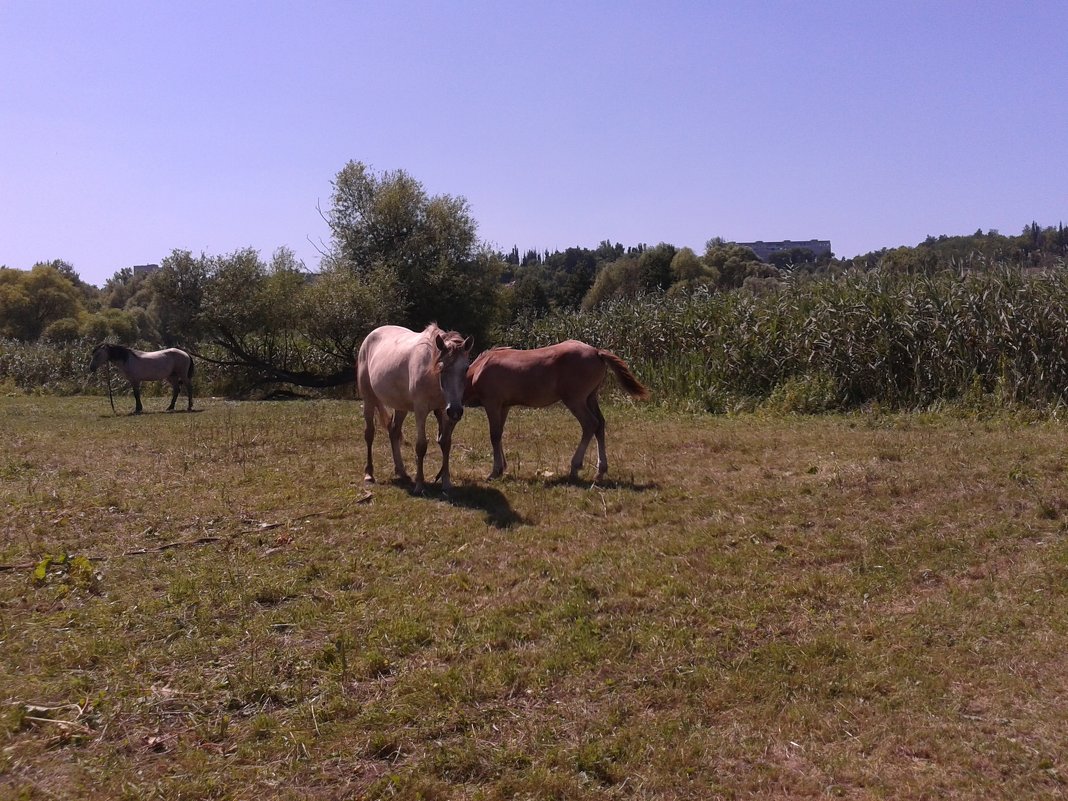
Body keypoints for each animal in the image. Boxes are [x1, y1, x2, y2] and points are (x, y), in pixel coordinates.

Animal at [358, 322, 472, 493]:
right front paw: (419, 485)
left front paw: (446, 482)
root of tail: (370, 336)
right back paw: (369, 474)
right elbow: (421, 446)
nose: (456, 411)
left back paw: (402, 472)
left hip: (401, 406)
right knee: (369, 434)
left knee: (394, 432)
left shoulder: (444, 410)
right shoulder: (421, 411)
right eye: (442, 368)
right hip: (369, 399)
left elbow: (446, 443)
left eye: (466, 369)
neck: (432, 376)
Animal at [463, 339, 645, 482]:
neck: (478, 369)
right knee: (600, 425)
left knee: (590, 424)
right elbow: (500, 433)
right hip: (591, 398)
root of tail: (596, 352)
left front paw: (495, 472)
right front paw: (503, 467)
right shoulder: (504, 406)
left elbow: (494, 435)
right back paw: (600, 471)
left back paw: (575, 467)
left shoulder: (492, 403)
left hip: (575, 400)